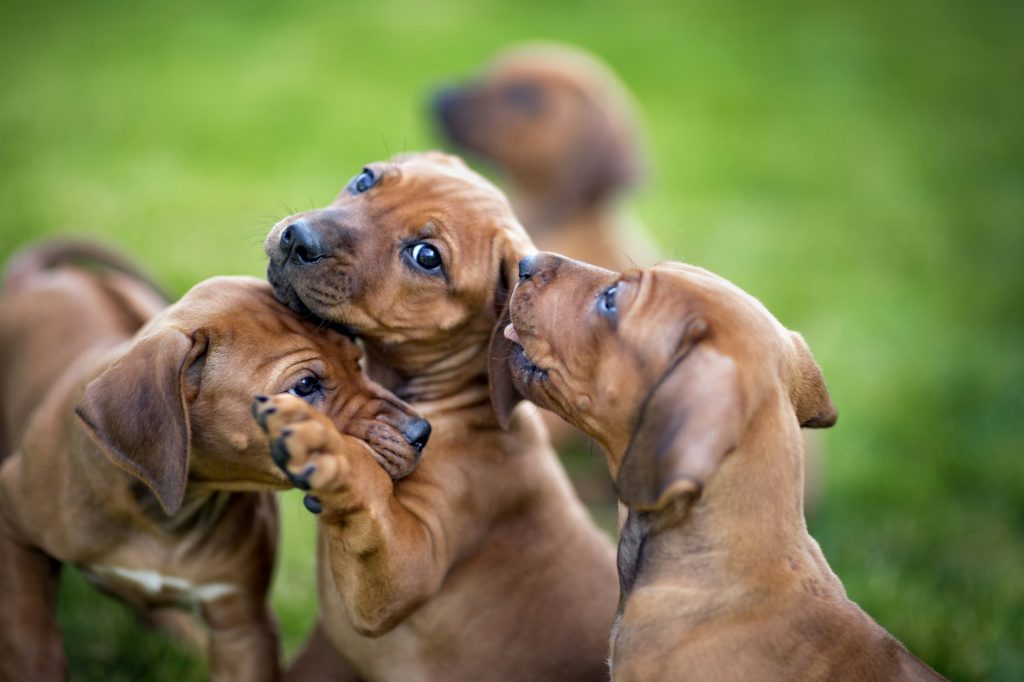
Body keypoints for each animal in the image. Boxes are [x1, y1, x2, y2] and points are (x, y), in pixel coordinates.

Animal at [262, 151, 614, 675]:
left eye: (426, 257)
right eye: (365, 180)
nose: (297, 238)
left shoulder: (403, 575)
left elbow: (370, 497)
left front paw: (331, 451)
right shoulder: (330, 650)